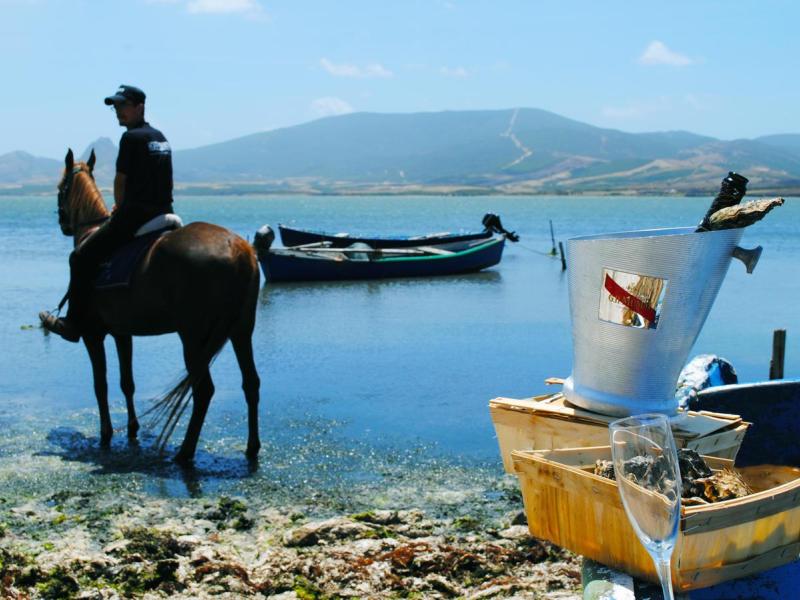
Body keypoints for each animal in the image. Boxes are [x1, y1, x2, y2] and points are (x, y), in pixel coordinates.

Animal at [52, 148, 261, 464]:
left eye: (59, 189)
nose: (63, 223)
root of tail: (240, 250)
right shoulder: (122, 332)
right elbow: (127, 382)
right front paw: (132, 429)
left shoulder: (92, 334)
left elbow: (100, 385)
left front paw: (106, 434)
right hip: (241, 330)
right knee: (251, 383)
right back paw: (252, 448)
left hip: (193, 335)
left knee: (203, 390)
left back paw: (185, 453)